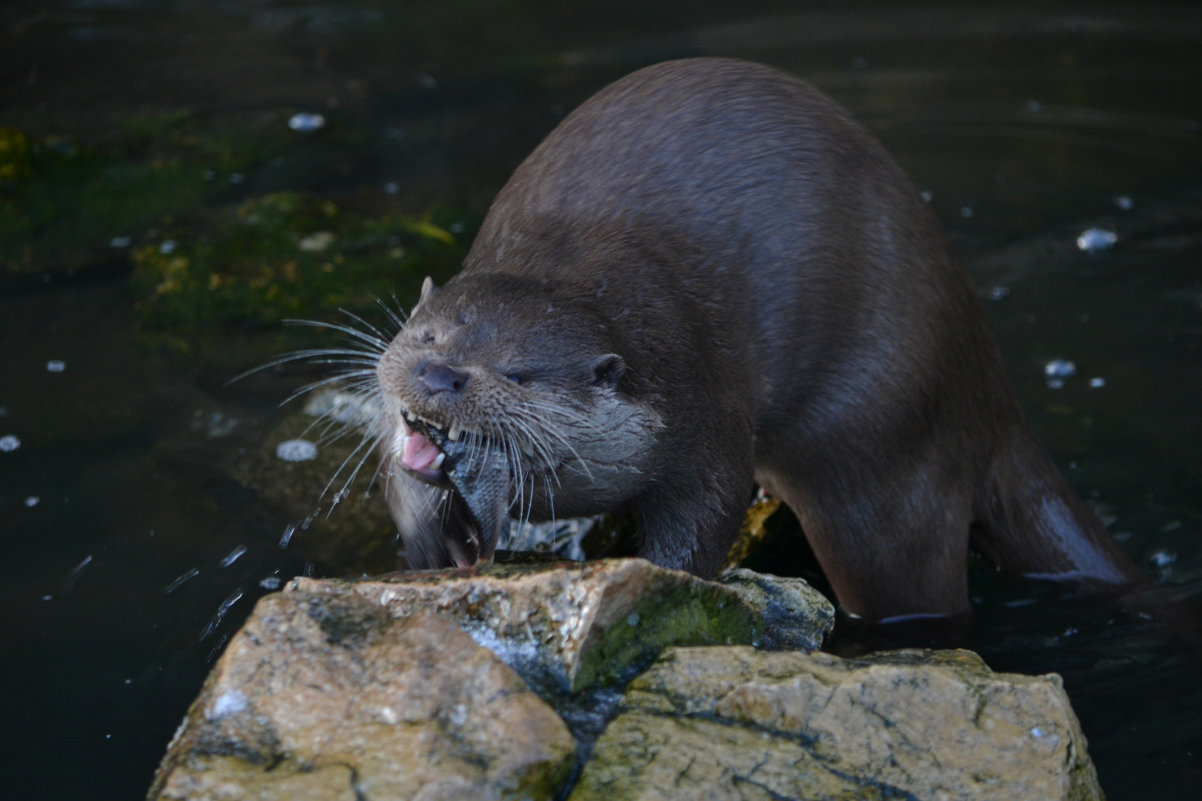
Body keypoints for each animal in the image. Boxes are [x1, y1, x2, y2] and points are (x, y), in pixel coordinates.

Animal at [370, 59, 1139, 620]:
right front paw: (436, 544)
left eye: (518, 372)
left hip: (885, 459)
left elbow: (705, 513)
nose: (440, 376)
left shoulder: (695, 401)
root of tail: (987, 389)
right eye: (427, 335)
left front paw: (662, 580)